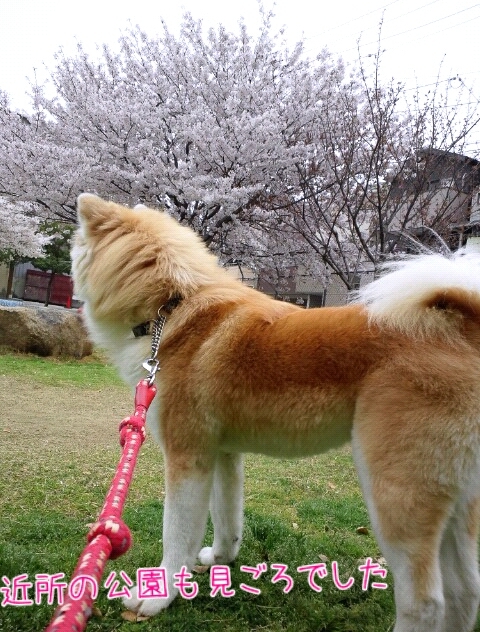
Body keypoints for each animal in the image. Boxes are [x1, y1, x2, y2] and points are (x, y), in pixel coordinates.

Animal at [72, 194, 480, 632]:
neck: (173, 307)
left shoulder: (188, 456)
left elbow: (177, 533)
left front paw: (157, 595)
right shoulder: (222, 454)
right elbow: (228, 518)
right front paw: (220, 559)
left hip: (395, 493)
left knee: (426, 602)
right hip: (454, 502)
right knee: (465, 592)